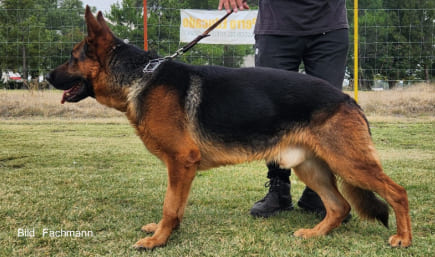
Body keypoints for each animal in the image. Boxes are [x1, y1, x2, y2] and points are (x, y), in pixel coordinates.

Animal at [46, 6, 414, 248]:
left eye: (72, 57)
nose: (48, 76)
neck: (141, 77)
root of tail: (347, 98)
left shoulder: (181, 161)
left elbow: (169, 205)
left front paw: (158, 240)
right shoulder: (182, 168)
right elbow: (176, 206)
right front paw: (168, 232)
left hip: (349, 163)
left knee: (397, 192)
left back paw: (404, 238)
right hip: (311, 167)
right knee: (340, 206)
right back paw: (315, 234)